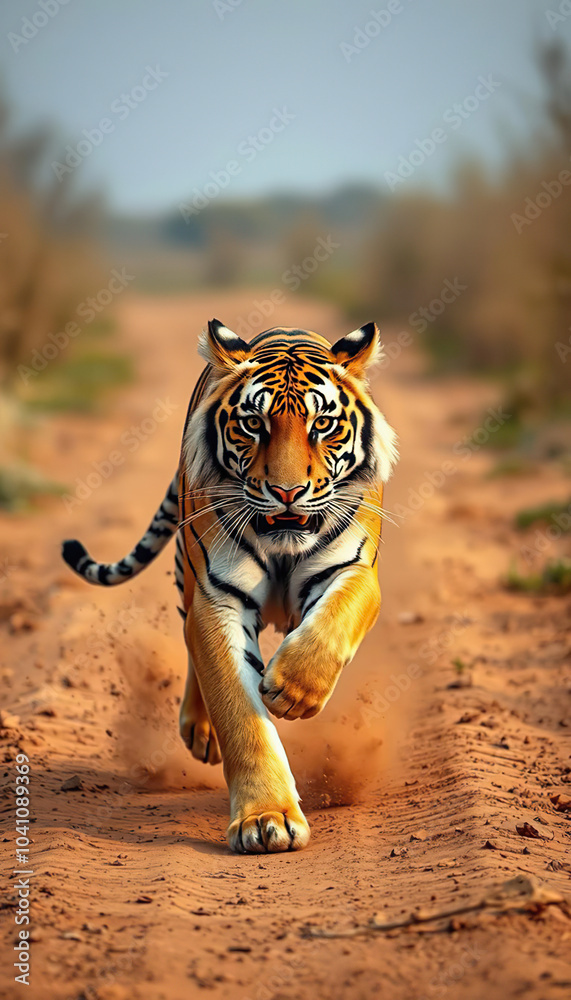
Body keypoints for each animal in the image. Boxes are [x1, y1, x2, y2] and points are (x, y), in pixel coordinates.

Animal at [62, 319, 398, 853]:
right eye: (253, 424)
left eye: (322, 424)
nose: (286, 492)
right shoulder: (216, 597)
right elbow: (239, 710)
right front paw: (266, 820)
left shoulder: (353, 570)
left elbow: (328, 628)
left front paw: (292, 691)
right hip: (186, 574)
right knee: (189, 645)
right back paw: (199, 731)